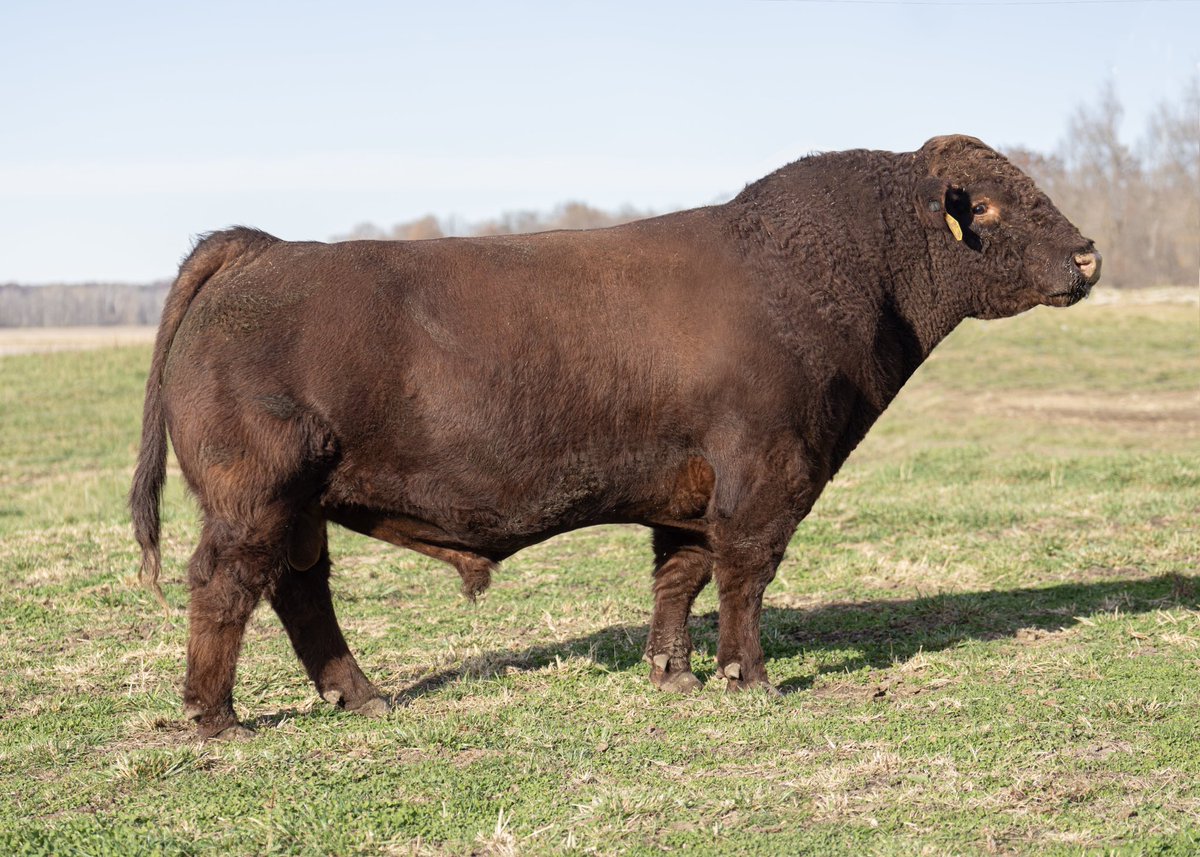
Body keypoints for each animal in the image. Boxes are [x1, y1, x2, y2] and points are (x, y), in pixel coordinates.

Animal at [131, 135, 1101, 739]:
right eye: (994, 207)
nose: (1089, 254)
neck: (828, 273)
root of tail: (264, 247)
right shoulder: (767, 473)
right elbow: (746, 574)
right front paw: (748, 677)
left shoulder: (690, 489)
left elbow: (682, 574)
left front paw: (672, 671)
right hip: (253, 498)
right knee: (225, 586)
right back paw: (216, 717)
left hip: (296, 508)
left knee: (299, 591)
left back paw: (360, 696)